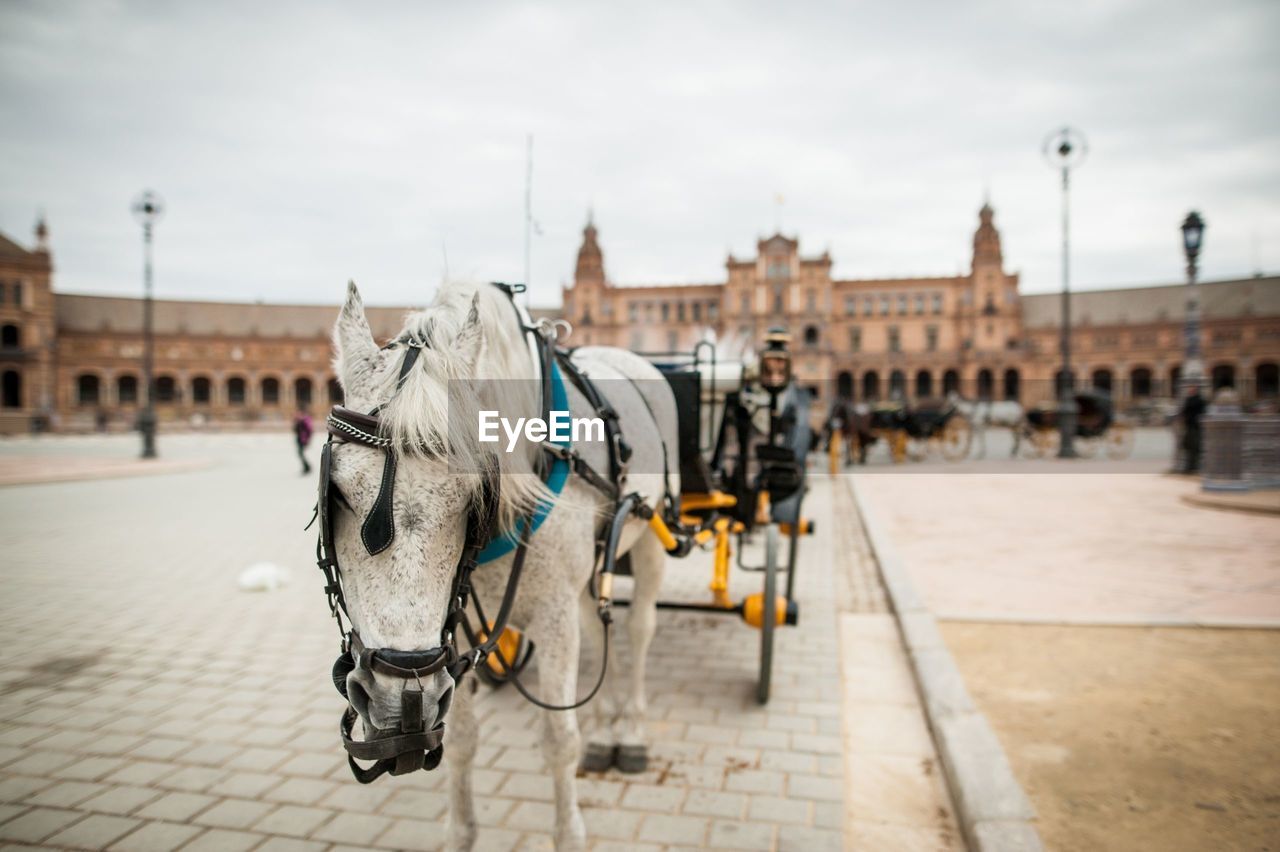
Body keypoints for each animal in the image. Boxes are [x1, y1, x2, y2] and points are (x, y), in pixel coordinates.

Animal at [327, 277, 680, 844]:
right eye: (335, 492)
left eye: (474, 498)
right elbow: (461, 738)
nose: (395, 699)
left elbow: (559, 739)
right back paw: (606, 728)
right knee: (595, 622)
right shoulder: (454, 629)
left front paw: (569, 832)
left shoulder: (553, 617)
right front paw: (460, 831)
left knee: (640, 628)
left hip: (651, 533)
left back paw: (630, 731)